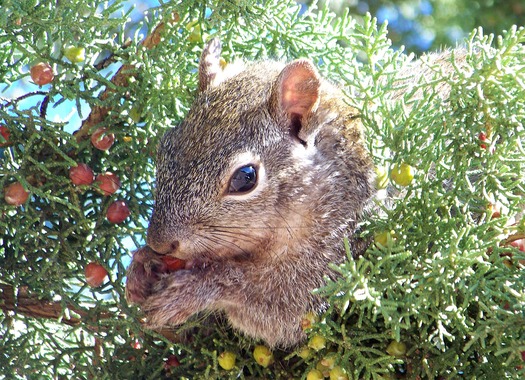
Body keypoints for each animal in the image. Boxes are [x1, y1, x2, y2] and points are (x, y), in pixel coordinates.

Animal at [125, 37, 378, 348]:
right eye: (164, 147)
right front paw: (140, 265)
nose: (160, 243)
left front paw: (193, 289)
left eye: (245, 178)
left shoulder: (336, 251)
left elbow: (280, 305)